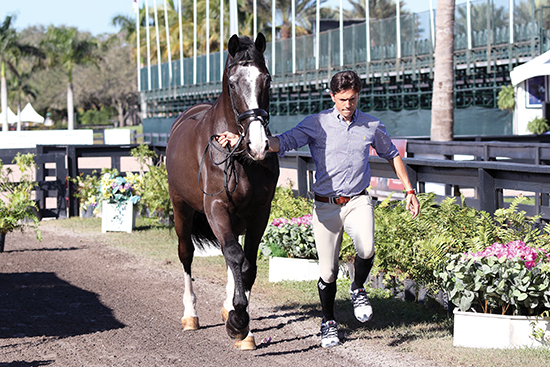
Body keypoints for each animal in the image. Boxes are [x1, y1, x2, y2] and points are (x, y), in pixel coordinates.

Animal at [165, 33, 280, 350]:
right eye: (232, 83)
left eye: (267, 79)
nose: (258, 144)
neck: (238, 155)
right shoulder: (216, 208)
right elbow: (234, 255)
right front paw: (239, 322)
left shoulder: (259, 212)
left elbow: (247, 263)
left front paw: (242, 323)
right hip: (181, 208)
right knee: (187, 254)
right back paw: (190, 315)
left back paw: (228, 306)